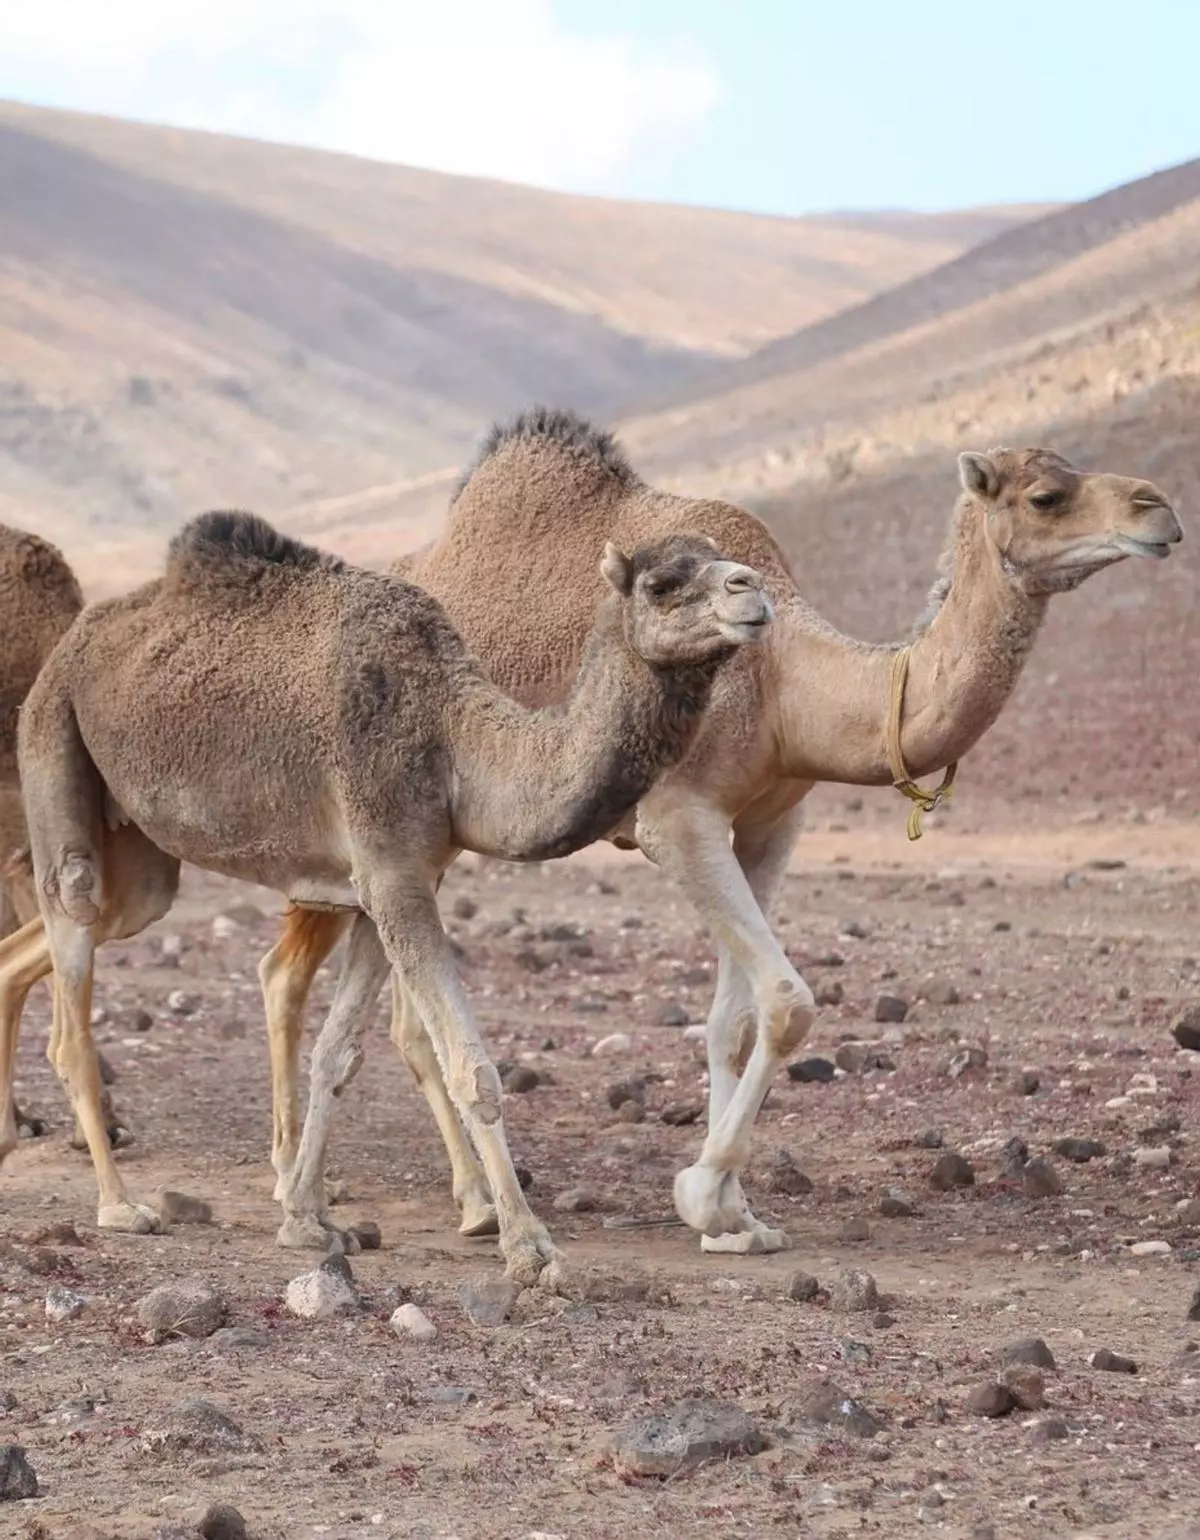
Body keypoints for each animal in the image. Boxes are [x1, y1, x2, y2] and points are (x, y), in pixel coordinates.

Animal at [0, 505, 770, 1275]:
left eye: (718, 556)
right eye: (662, 584)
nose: (752, 589)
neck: (454, 743)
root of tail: (70, 646)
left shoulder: (386, 883)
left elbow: (337, 1054)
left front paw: (308, 1221)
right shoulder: (393, 871)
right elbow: (472, 1068)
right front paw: (527, 1243)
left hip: (142, 862)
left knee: (85, 926)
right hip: (54, 746)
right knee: (71, 952)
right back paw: (119, 1204)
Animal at [254, 406, 1183, 1250]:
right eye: (1046, 495)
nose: (1161, 510)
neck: (786, 682)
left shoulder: (773, 823)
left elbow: (736, 1017)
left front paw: (738, 1214)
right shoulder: (677, 817)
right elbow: (789, 1001)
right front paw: (702, 1193)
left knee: (387, 1011)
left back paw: (469, 1201)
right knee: (290, 973)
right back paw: (326, 1188)